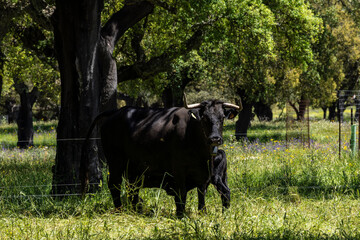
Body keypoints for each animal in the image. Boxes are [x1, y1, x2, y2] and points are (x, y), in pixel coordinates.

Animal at [80, 99, 240, 216]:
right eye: (204, 118)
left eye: (222, 118)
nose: (215, 139)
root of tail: (117, 112)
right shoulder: (178, 170)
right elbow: (181, 193)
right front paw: (180, 215)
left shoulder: (204, 173)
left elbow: (202, 194)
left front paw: (202, 213)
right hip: (115, 161)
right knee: (115, 184)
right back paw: (120, 210)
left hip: (132, 168)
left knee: (132, 188)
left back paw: (135, 211)